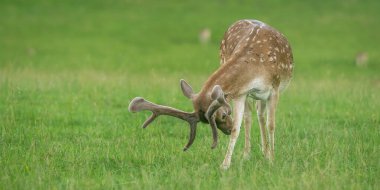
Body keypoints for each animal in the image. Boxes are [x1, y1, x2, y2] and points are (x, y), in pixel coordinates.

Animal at [128, 19, 294, 169]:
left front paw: (272, 160)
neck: (257, 65)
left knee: (261, 115)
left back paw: (266, 154)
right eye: (210, 121)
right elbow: (238, 128)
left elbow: (271, 124)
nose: (226, 130)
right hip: (246, 92)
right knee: (251, 116)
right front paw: (225, 164)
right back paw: (248, 155)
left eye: (223, 114)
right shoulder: (241, 93)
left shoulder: (274, 89)